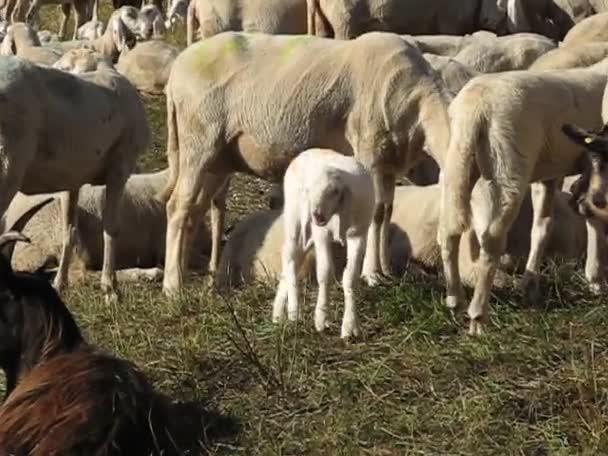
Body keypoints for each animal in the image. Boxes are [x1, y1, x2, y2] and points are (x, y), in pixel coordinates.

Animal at [0, 54, 151, 302]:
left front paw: (60, 283)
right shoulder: (120, 168)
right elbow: (111, 228)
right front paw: (110, 288)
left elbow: (69, 230)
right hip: (7, 167)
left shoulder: (71, 179)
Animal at [272, 148, 376, 340]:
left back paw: (277, 313)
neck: (337, 215)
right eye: (309, 190)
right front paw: (321, 318)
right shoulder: (322, 234)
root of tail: (307, 151)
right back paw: (293, 310)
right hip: (294, 217)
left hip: (307, 232)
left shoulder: (358, 235)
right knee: (290, 258)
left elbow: (350, 277)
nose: (317, 215)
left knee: (295, 259)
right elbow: (325, 272)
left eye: (335, 191)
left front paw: (350, 326)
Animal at [440, 58, 608, 334]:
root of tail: (475, 108)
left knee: (448, 231)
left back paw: (455, 299)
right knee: (491, 239)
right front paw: (596, 277)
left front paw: (531, 283)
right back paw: (478, 316)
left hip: (457, 163)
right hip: (507, 166)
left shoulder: (552, 173)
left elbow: (544, 225)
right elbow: (591, 213)